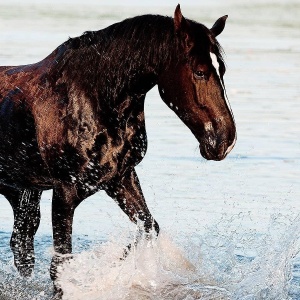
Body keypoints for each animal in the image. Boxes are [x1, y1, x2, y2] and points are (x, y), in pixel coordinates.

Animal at [0, 4, 236, 298]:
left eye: (222, 70)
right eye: (200, 71)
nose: (225, 139)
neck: (96, 99)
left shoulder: (120, 178)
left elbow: (149, 227)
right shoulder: (65, 191)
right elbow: (60, 264)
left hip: (24, 195)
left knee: (22, 248)